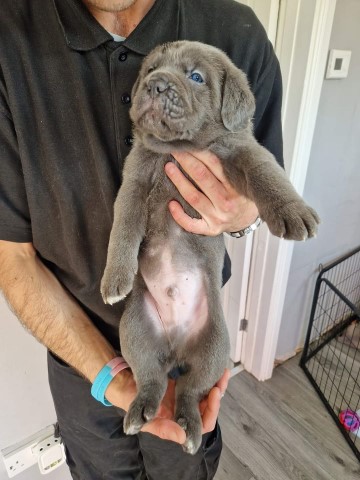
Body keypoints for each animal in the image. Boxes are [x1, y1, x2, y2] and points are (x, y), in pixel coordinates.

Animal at [100, 40, 320, 454]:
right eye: (150, 68)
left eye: (196, 77)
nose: (155, 84)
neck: (176, 149)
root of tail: (176, 348)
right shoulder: (134, 182)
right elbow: (122, 229)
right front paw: (114, 279)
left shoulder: (240, 151)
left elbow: (267, 174)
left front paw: (293, 211)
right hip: (134, 331)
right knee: (152, 378)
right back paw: (142, 411)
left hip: (217, 349)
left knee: (190, 389)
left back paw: (190, 425)